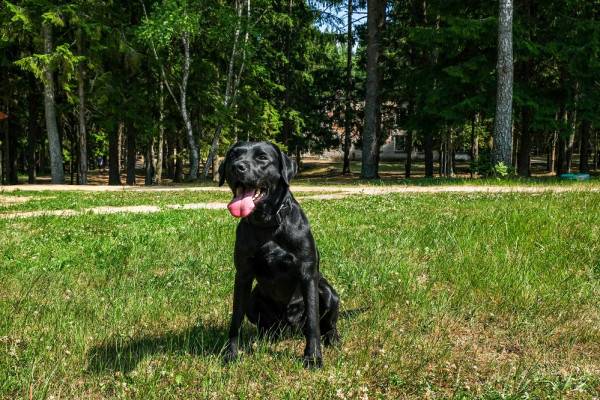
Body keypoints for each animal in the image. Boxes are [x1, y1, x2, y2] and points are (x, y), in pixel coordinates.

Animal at [219, 141, 342, 368]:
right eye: (233, 155)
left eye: (262, 157)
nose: (237, 167)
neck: (267, 223)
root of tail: (289, 328)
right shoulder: (243, 275)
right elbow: (236, 318)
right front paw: (230, 353)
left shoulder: (307, 274)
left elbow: (313, 322)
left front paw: (313, 357)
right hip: (254, 300)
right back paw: (265, 338)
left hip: (329, 293)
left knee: (327, 324)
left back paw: (332, 338)